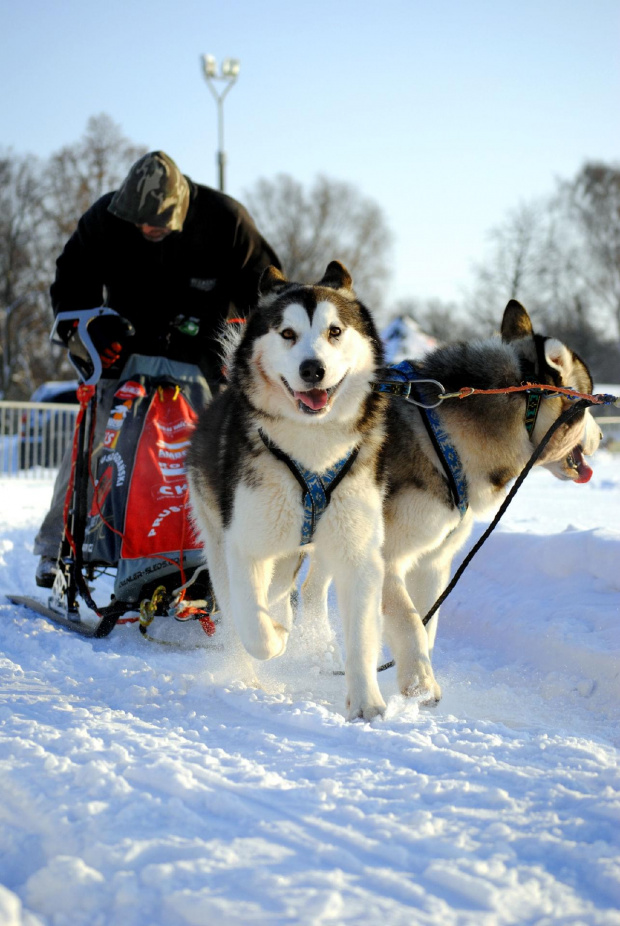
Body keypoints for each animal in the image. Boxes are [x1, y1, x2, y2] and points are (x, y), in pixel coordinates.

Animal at [186, 260, 388, 724]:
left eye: (335, 331)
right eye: (287, 333)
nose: (313, 368)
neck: (312, 453)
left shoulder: (359, 554)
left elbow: (361, 637)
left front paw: (366, 701)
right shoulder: (244, 546)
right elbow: (255, 627)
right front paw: (275, 638)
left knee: (280, 590)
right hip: (220, 539)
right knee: (237, 611)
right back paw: (250, 671)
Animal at [304, 302, 600, 704]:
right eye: (588, 405)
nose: (601, 436)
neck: (451, 438)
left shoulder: (433, 562)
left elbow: (426, 624)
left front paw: (416, 678)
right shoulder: (386, 557)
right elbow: (409, 621)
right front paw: (420, 684)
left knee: (311, 589)